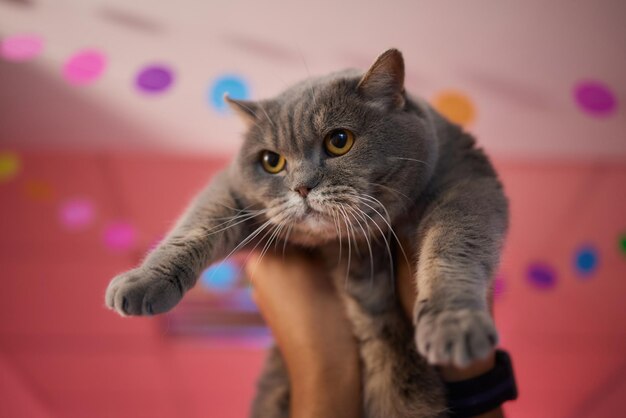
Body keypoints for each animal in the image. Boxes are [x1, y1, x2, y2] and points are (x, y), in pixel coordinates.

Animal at [105, 49, 508, 418]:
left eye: (339, 140)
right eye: (271, 161)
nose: (301, 187)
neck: (356, 245)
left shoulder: (468, 183)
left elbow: (453, 244)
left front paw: (453, 324)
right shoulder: (231, 191)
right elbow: (195, 227)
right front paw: (141, 282)